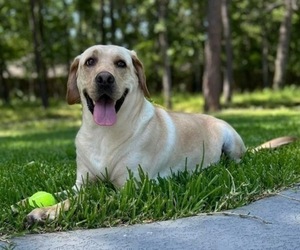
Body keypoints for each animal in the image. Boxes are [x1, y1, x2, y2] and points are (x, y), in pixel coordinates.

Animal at [25, 44, 296, 223]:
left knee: (235, 161)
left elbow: (90, 199)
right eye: (90, 62)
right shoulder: (81, 183)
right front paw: (25, 203)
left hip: (230, 139)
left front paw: (47, 211)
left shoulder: (128, 189)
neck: (103, 134)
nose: (104, 79)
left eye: (121, 63)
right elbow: (65, 192)